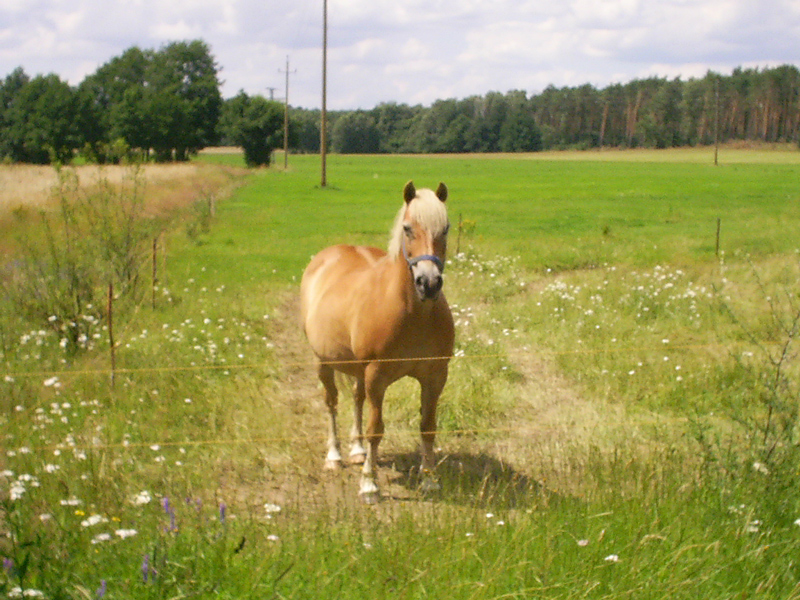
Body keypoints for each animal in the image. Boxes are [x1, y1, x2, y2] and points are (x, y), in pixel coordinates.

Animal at [298, 179, 454, 502]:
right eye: (407, 228)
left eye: (445, 228)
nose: (429, 283)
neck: (412, 314)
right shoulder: (377, 376)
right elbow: (376, 429)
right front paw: (369, 484)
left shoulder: (435, 376)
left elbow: (428, 427)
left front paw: (429, 480)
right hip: (324, 363)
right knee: (331, 403)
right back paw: (335, 456)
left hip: (359, 371)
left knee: (357, 400)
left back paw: (357, 451)